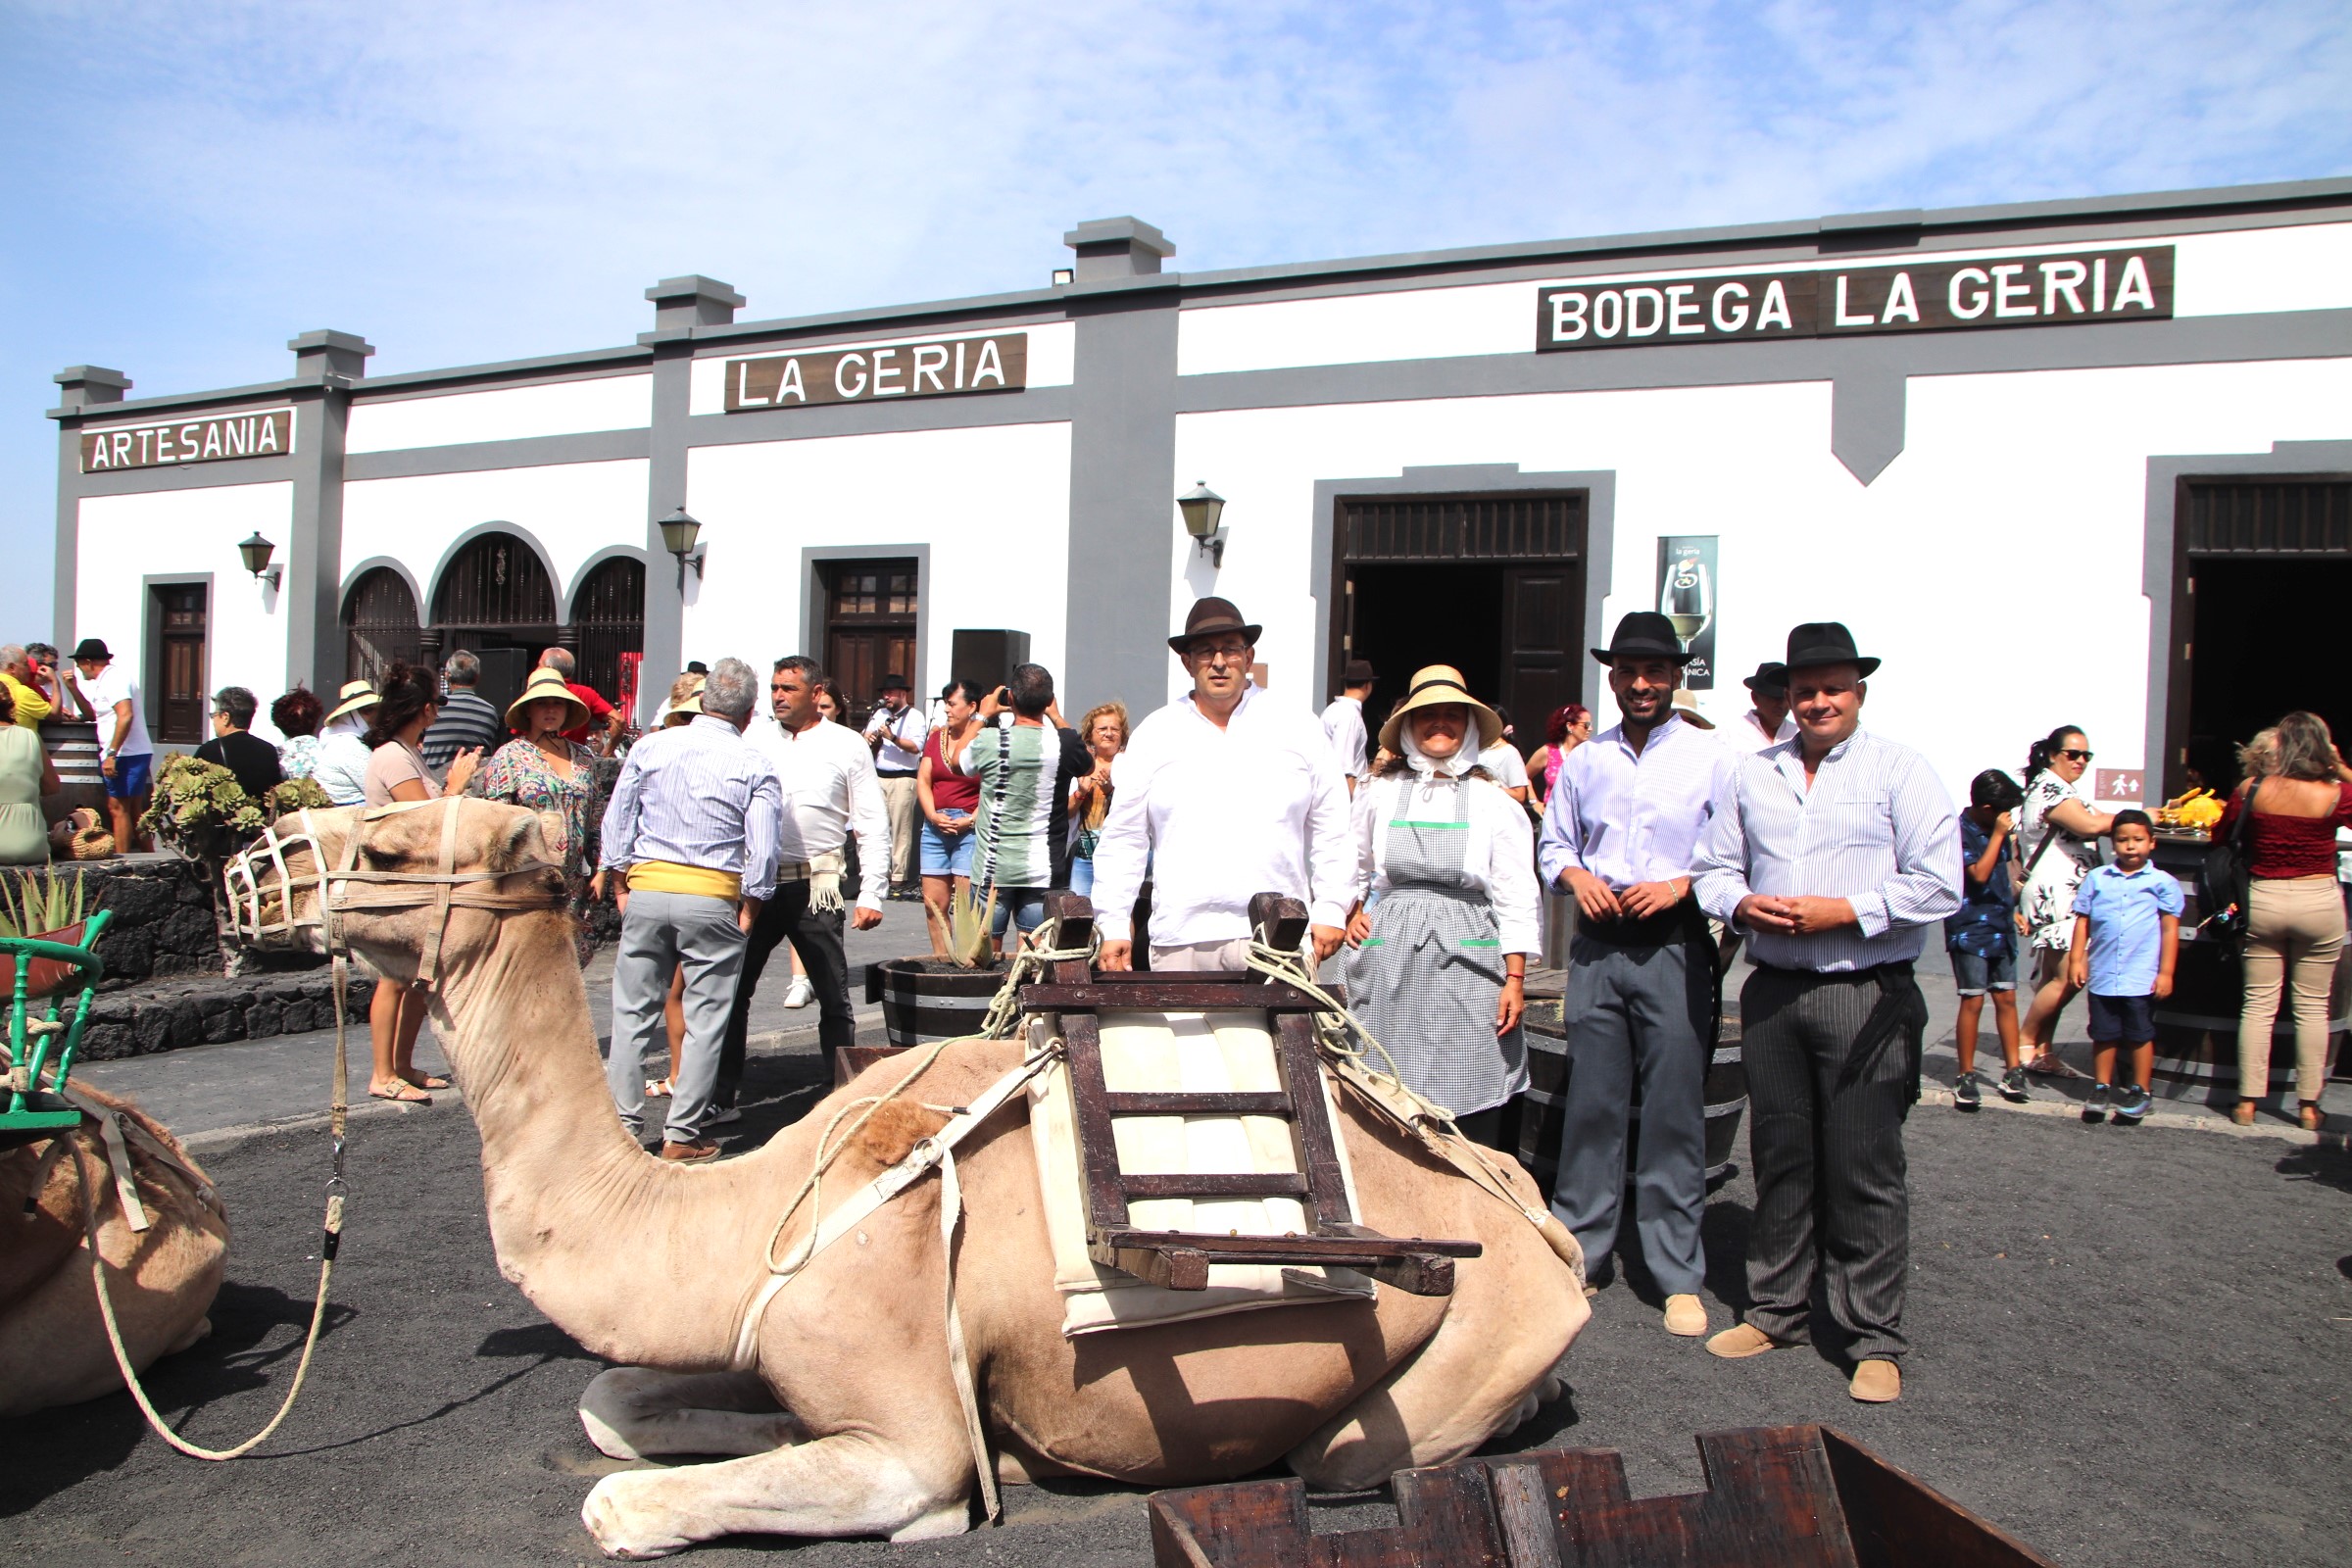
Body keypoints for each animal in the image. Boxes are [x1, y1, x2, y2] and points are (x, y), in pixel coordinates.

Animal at [267, 804, 1590, 1560]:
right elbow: (612, 1403)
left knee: (1343, 1453)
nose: (256, 867)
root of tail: (1546, 1229)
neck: (741, 1215)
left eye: (383, 848)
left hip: (1475, 1340)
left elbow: (625, 1507)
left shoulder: (908, 1435)